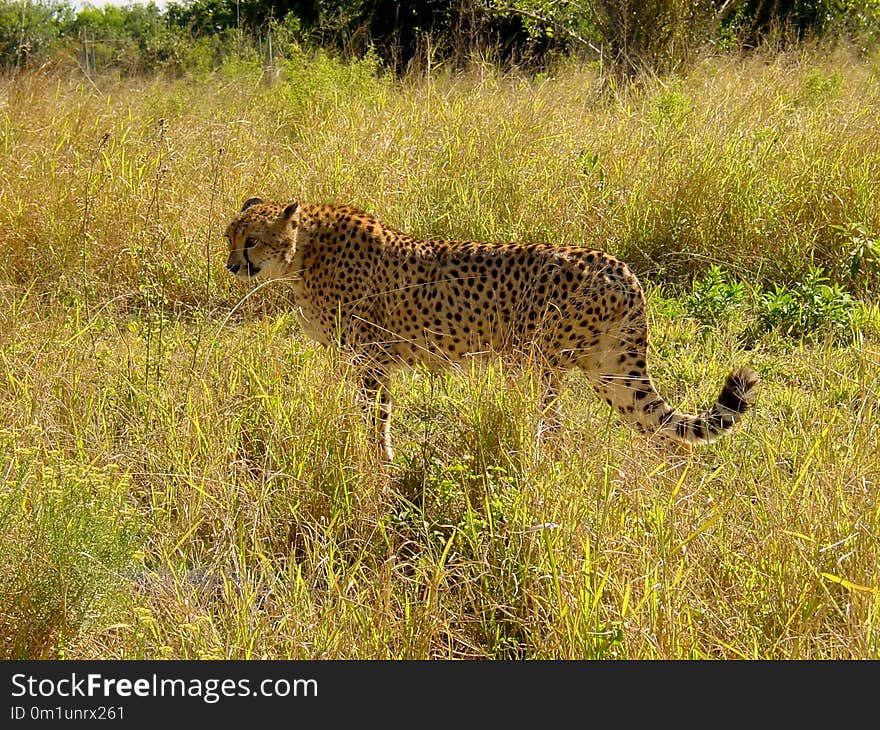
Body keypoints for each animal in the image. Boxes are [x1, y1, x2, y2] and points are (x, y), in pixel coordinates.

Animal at [225, 198, 756, 460]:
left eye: (252, 240)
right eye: (229, 237)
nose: (232, 266)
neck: (303, 251)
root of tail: (621, 268)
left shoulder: (371, 358)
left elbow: (376, 417)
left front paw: (378, 462)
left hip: (536, 360)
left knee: (551, 427)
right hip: (609, 371)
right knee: (661, 430)